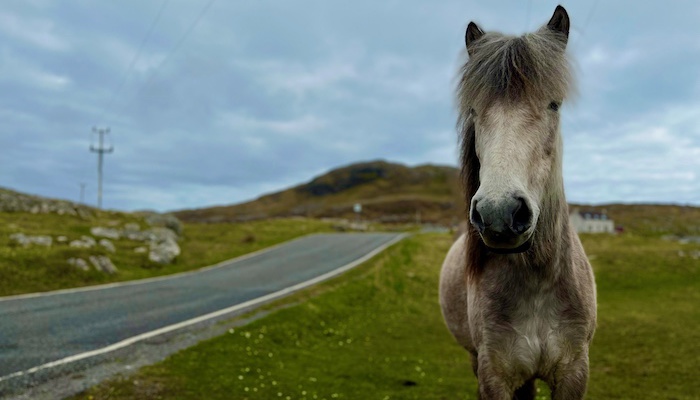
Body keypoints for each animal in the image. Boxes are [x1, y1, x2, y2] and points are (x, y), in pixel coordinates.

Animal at [439, 6, 597, 400]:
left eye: (554, 104)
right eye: (474, 111)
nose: (499, 214)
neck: (537, 283)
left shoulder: (575, 372)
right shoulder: (494, 374)